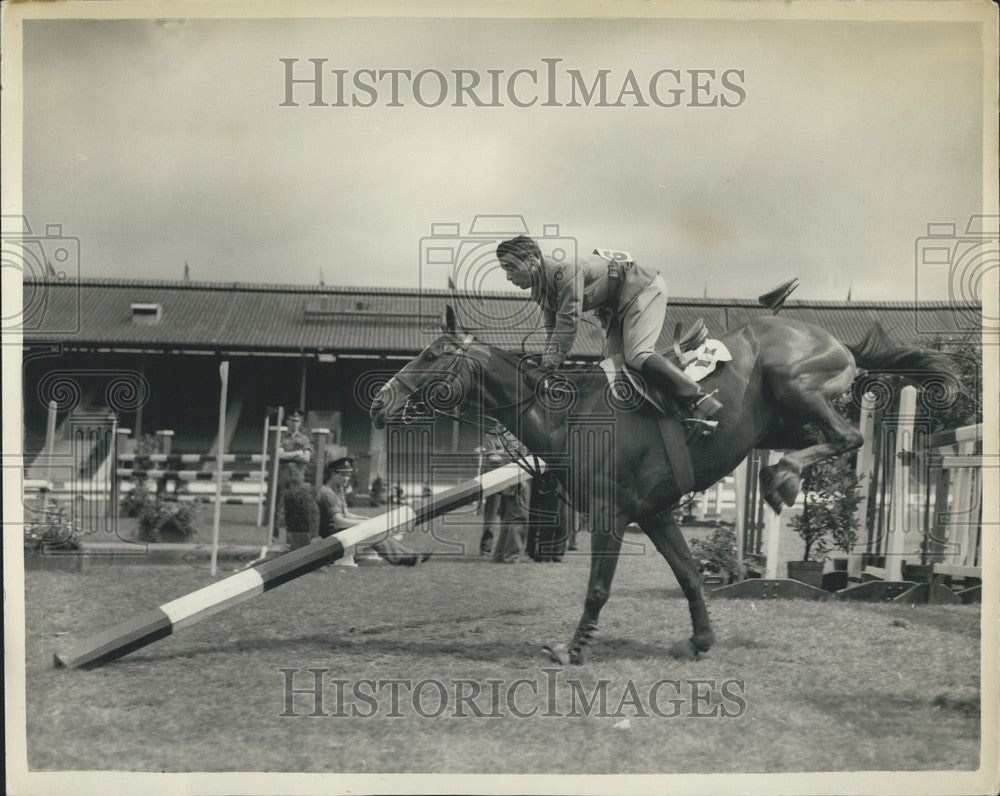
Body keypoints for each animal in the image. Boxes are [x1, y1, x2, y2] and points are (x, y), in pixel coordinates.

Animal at [370, 302, 952, 664]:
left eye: (430, 355)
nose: (380, 401)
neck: (566, 417)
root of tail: (835, 340)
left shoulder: (611, 516)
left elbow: (598, 588)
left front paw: (573, 649)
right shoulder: (654, 514)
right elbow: (690, 575)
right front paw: (700, 639)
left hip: (795, 385)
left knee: (849, 436)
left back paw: (781, 478)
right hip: (781, 421)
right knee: (832, 437)